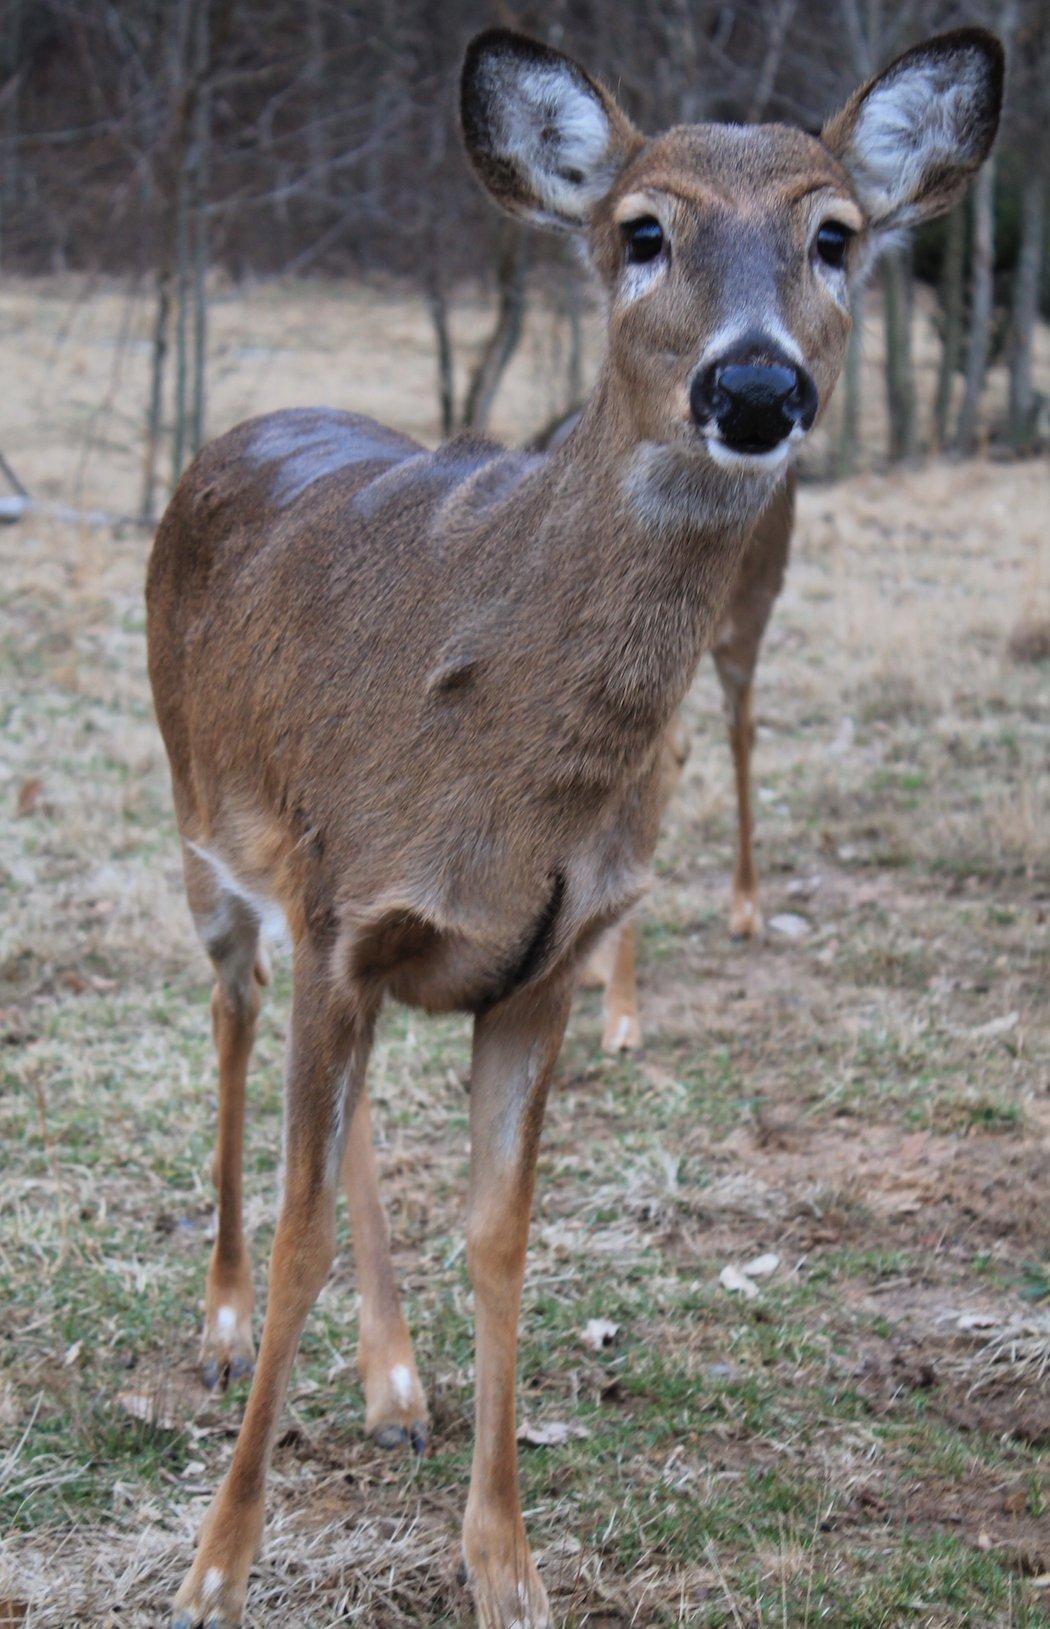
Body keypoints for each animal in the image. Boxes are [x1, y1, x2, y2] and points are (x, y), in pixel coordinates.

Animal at [147, 28, 996, 1629]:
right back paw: (219, 1328)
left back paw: (395, 1384)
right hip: (205, 827)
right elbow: (296, 1228)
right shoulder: (348, 911)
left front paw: (506, 1563)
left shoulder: (532, 961)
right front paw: (218, 1564)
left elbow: (501, 1236)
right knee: (232, 1016)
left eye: (834, 235)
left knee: (346, 1103)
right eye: (641, 231)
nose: (752, 381)